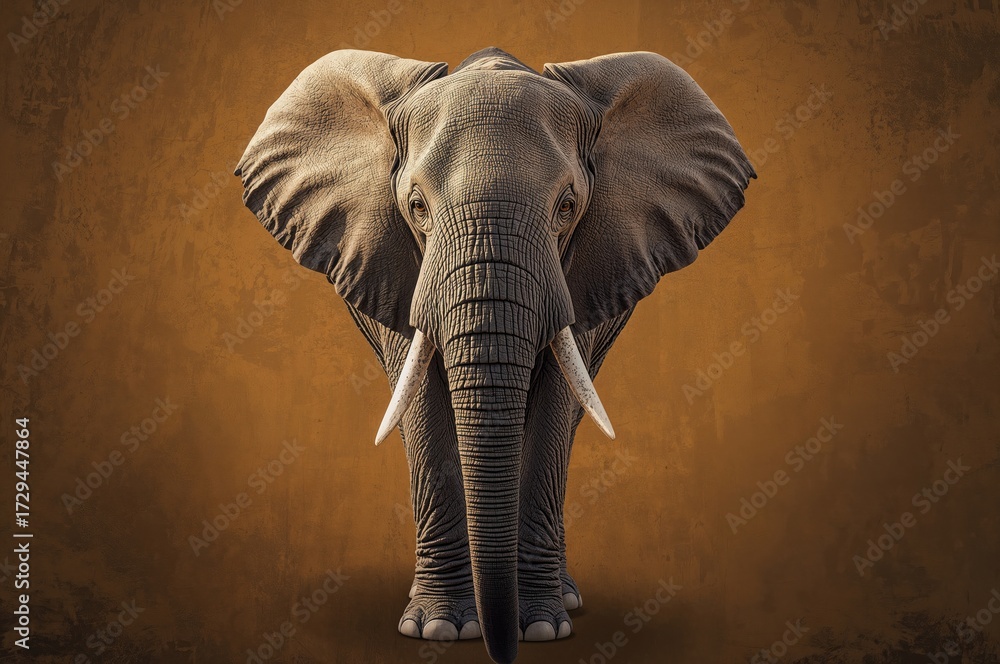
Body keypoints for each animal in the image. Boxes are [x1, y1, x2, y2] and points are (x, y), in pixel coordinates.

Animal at [236, 47, 754, 664]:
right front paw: (439, 629)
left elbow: (555, 406)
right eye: (416, 205)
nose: (501, 651)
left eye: (567, 206)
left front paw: (543, 628)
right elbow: (421, 405)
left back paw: (566, 597)